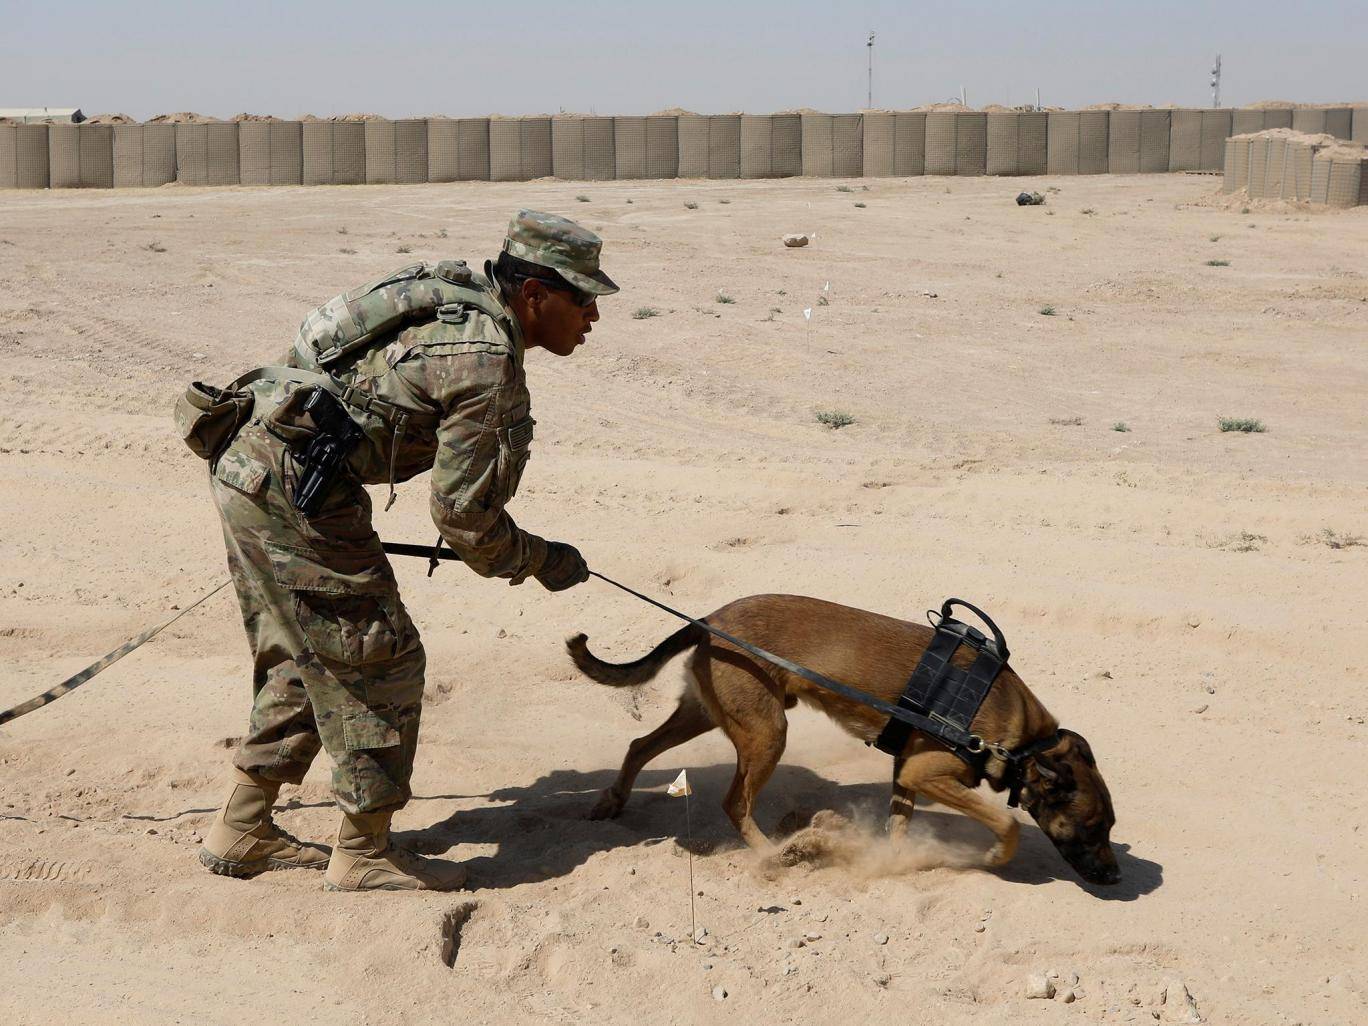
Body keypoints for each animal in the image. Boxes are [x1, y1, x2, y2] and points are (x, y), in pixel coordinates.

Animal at [571, 599, 1116, 886]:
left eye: (1109, 827)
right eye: (1092, 828)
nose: (1114, 878)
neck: (1024, 744)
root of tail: (713, 618)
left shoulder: (907, 775)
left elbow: (900, 828)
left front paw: (894, 863)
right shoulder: (926, 774)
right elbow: (1007, 823)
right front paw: (990, 858)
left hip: (705, 713)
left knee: (640, 745)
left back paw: (613, 801)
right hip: (767, 734)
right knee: (734, 802)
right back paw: (775, 853)